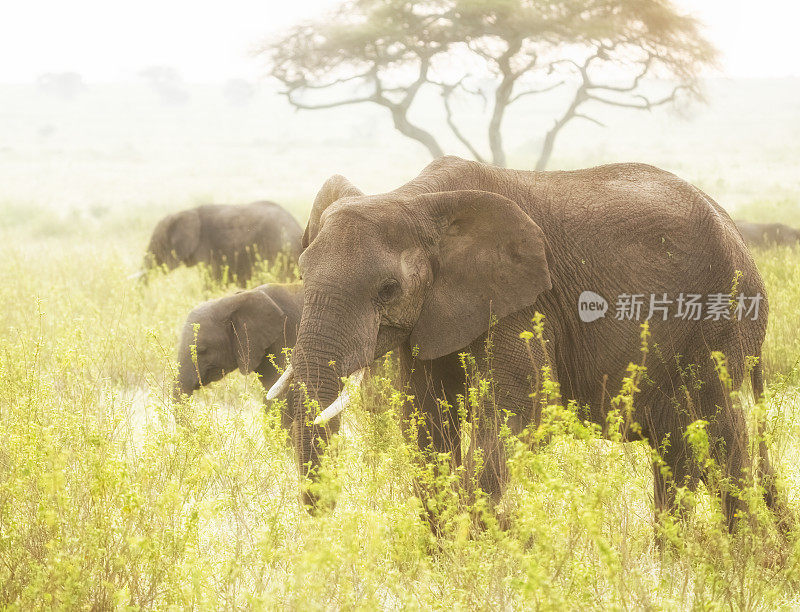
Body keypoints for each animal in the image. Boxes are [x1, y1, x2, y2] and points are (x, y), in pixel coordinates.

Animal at [276, 157, 780, 532]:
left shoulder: (525, 303)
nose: (323, 517)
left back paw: (738, 560)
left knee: (718, 439)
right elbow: (424, 417)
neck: (415, 198)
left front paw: (480, 551)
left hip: (720, 323)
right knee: (680, 449)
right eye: (301, 272)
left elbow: (518, 409)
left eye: (388, 290)